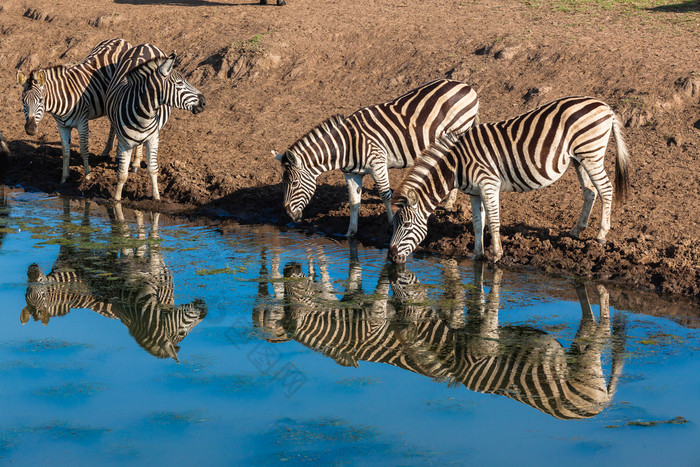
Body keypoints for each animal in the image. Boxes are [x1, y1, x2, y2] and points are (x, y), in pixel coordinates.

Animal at [15, 37, 134, 184]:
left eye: (41, 100)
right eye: (23, 101)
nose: (30, 129)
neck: (60, 100)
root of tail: (120, 39)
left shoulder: (82, 122)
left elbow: (83, 149)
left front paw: (87, 175)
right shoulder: (62, 126)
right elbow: (65, 151)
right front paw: (64, 178)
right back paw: (107, 150)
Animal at [105, 44, 205, 203]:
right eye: (179, 83)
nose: (204, 102)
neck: (143, 117)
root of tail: (146, 45)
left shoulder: (153, 139)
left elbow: (153, 169)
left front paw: (156, 197)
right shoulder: (125, 144)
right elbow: (122, 174)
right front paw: (117, 199)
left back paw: (136, 163)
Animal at [276, 78, 478, 238]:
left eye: (293, 184)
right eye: (284, 183)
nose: (289, 214)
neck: (346, 144)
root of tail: (465, 85)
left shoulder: (377, 164)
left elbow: (385, 194)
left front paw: (391, 221)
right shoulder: (351, 174)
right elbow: (354, 201)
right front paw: (350, 232)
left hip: (459, 131)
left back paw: (449, 203)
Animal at [388, 96, 628, 264]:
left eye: (407, 225)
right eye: (395, 224)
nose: (390, 256)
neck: (456, 165)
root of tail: (605, 106)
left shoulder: (488, 184)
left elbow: (493, 222)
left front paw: (496, 255)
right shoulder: (474, 192)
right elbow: (477, 223)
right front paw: (477, 255)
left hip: (591, 153)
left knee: (605, 189)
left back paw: (601, 235)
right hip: (578, 159)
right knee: (590, 191)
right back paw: (576, 230)